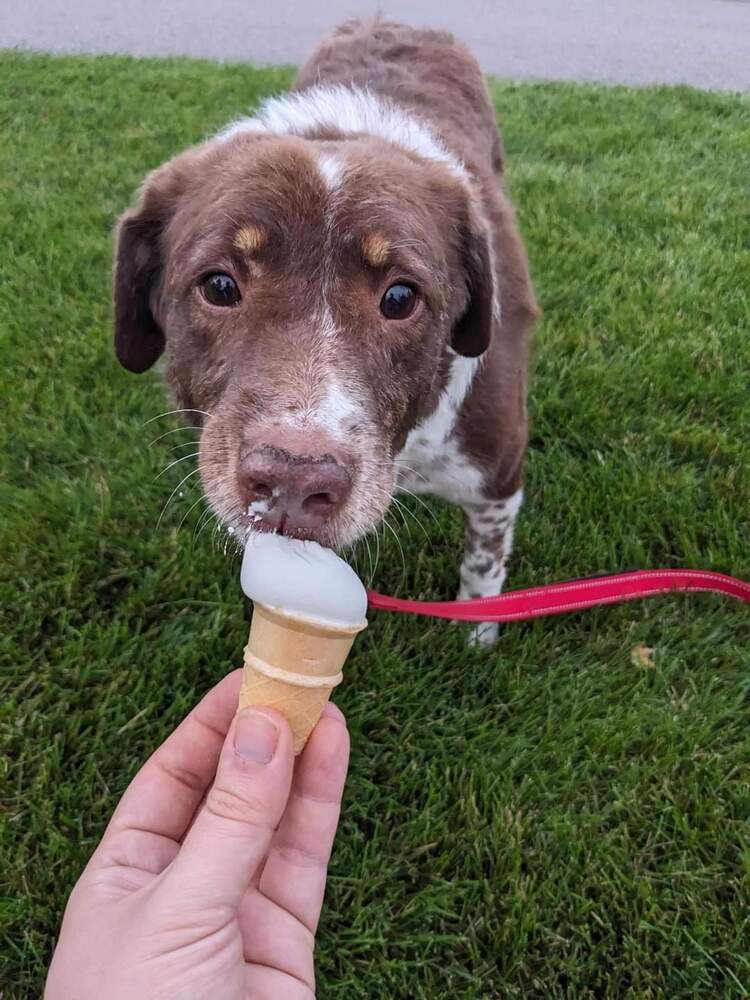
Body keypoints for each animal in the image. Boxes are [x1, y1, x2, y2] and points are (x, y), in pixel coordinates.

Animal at [113, 19, 540, 644]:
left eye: (400, 297)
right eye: (219, 285)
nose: (292, 482)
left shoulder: (498, 476)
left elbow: (484, 568)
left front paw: (477, 637)